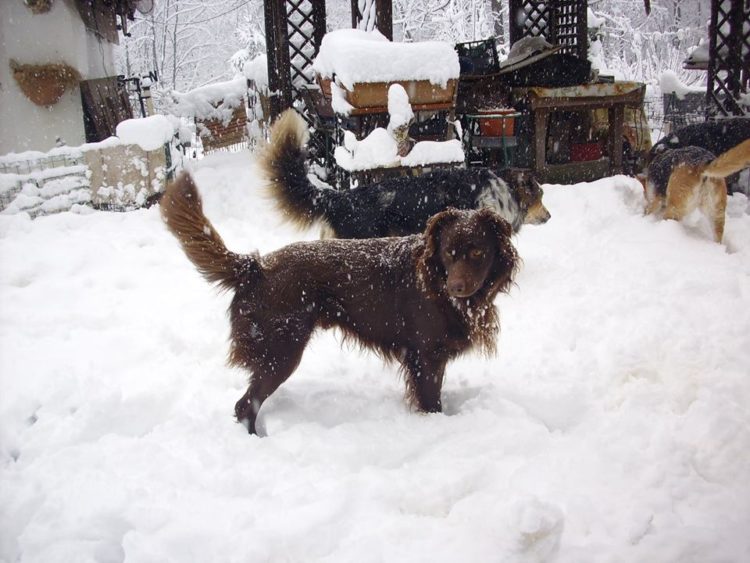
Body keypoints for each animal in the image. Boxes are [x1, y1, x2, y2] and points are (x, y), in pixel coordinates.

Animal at [162, 172, 520, 436]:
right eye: (449, 252)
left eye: (477, 252)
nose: (456, 288)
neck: (434, 280)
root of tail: (256, 266)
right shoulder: (426, 356)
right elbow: (432, 402)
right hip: (281, 351)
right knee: (245, 404)